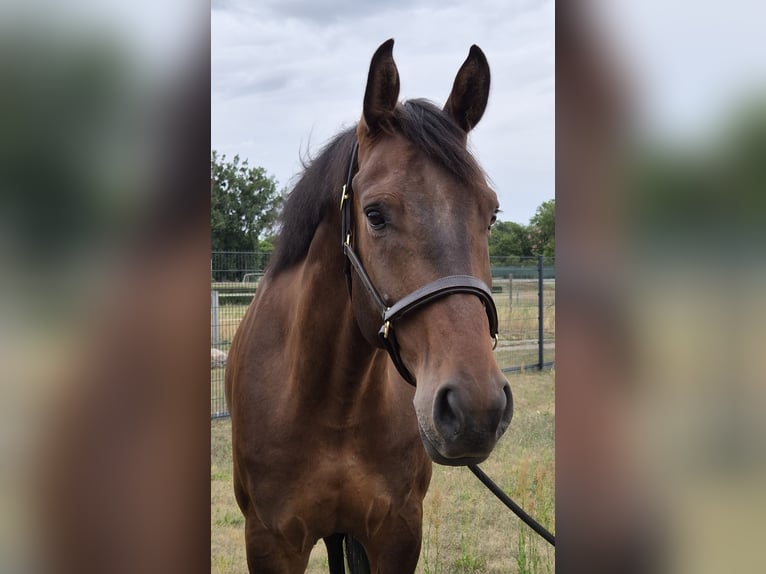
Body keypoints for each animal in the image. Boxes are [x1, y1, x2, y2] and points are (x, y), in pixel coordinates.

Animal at [226, 39, 513, 573]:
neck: (332, 400)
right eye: (375, 215)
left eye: (491, 213)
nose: (476, 408)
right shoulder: (270, 540)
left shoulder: (397, 532)